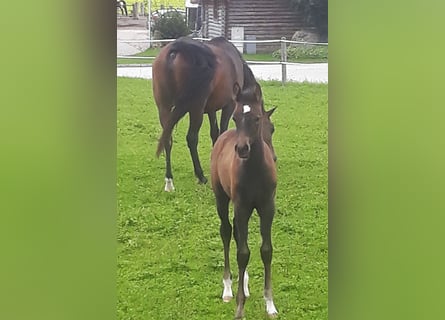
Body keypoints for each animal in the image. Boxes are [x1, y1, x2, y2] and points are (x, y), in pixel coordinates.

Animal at [152, 36, 256, 191]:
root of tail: (175, 50)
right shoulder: (229, 105)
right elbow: (222, 132)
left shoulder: (211, 109)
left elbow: (214, 133)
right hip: (196, 109)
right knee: (191, 138)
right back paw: (200, 176)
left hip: (164, 108)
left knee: (167, 139)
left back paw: (169, 181)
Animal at [209, 84, 278, 318]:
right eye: (235, 117)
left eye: (257, 118)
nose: (242, 149)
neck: (255, 169)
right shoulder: (242, 207)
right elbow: (242, 253)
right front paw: (239, 308)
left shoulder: (267, 207)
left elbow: (266, 250)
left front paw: (270, 304)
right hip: (222, 198)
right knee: (227, 231)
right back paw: (228, 288)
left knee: (238, 234)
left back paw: (245, 285)